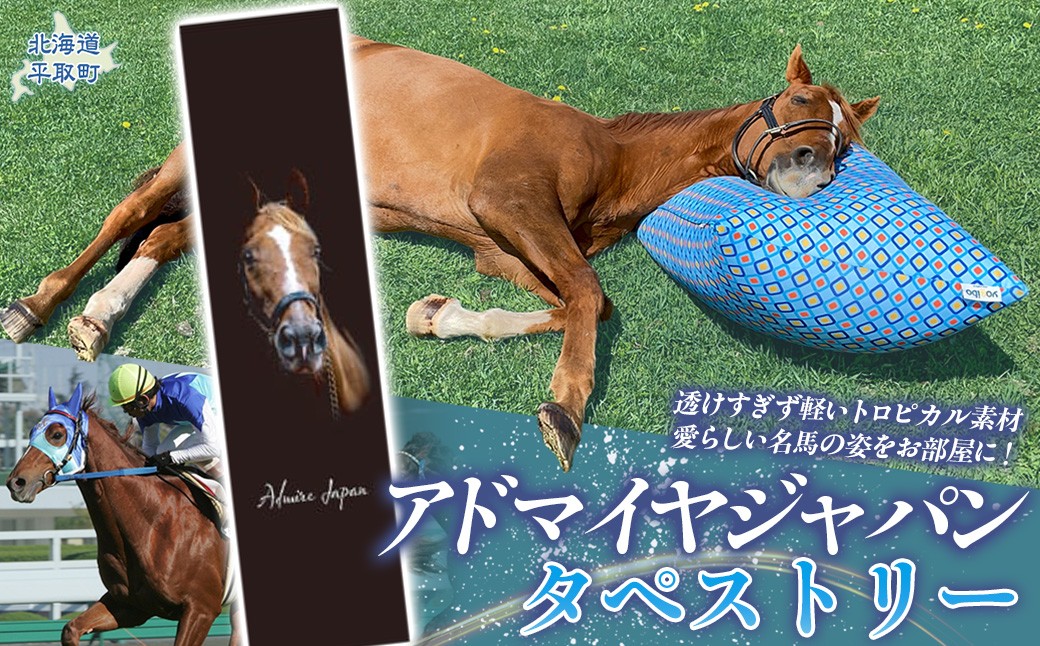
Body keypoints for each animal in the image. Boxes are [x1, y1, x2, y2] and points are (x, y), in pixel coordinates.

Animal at [4, 384, 239, 646]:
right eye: (32, 430)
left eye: (56, 434)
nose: (16, 482)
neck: (153, 524)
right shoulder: (130, 605)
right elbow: (71, 629)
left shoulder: (201, 609)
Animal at [351, 39, 879, 471]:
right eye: (797, 100)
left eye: (843, 142)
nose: (812, 176)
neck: (616, 159)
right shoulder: (507, 201)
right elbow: (587, 289)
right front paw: (566, 411)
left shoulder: (502, 251)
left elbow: (587, 303)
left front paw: (437, 316)